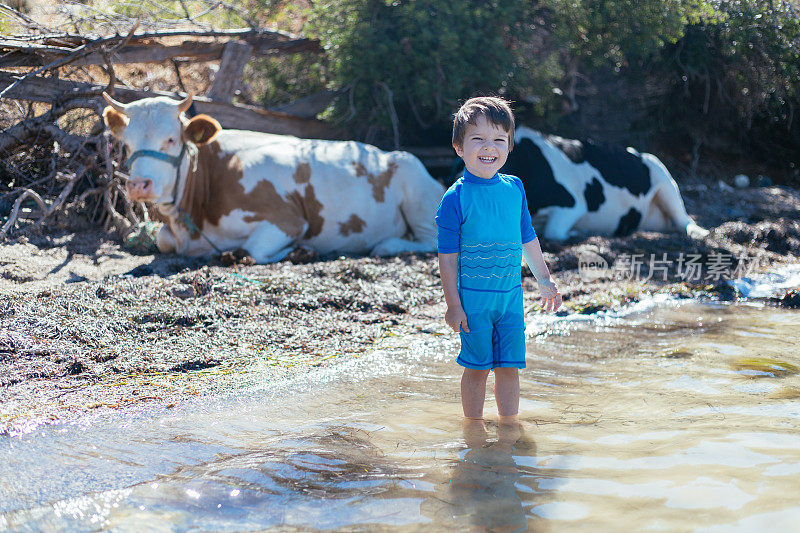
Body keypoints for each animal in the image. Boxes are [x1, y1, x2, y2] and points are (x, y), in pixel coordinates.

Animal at [101, 95, 444, 264]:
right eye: (126, 142)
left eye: (171, 139)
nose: (138, 185)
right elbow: (161, 239)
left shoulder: (289, 220)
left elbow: (254, 250)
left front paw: (297, 251)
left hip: (417, 192)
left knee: (430, 241)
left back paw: (385, 246)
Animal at [500, 127, 708, 239]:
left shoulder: (573, 204)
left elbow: (554, 231)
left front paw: (577, 233)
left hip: (664, 180)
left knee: (684, 220)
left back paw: (699, 232)